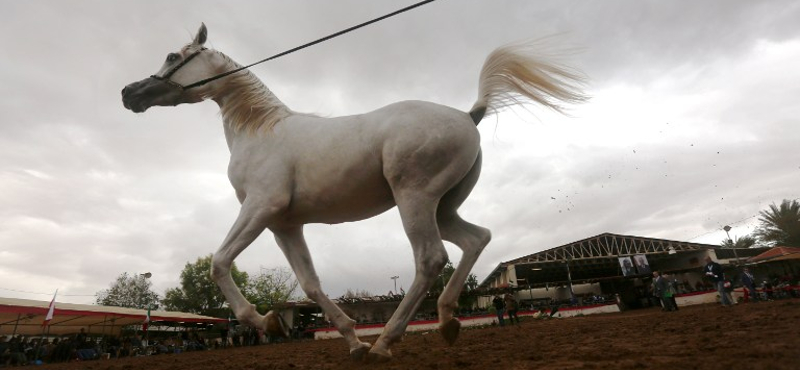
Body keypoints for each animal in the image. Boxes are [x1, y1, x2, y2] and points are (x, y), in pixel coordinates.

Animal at [122, 23, 584, 362]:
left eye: (172, 56)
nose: (129, 93)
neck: (261, 133)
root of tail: (470, 115)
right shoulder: (284, 225)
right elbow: (310, 285)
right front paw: (351, 340)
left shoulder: (260, 207)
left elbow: (219, 263)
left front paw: (263, 320)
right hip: (442, 206)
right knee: (476, 239)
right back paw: (445, 322)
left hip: (414, 200)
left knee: (430, 258)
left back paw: (387, 341)